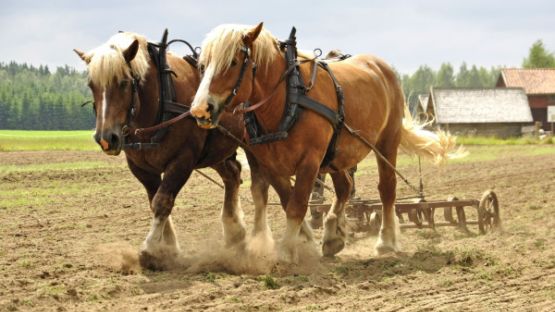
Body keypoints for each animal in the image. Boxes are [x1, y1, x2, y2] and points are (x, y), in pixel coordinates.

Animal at [74, 32, 314, 270]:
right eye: (92, 85)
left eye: (123, 82)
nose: (106, 138)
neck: (161, 99)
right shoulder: (141, 168)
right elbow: (156, 201)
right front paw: (168, 248)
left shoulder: (183, 160)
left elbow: (162, 201)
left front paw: (151, 249)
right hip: (217, 150)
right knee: (234, 175)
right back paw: (236, 232)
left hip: (255, 149)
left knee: (262, 190)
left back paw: (279, 238)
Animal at [189, 24, 462, 262]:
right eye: (203, 65)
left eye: (233, 63)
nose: (200, 109)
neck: (287, 100)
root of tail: (382, 66)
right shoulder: (270, 164)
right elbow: (289, 200)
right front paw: (305, 243)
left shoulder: (310, 161)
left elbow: (297, 204)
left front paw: (287, 251)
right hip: (336, 155)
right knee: (344, 187)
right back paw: (332, 237)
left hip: (386, 142)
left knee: (387, 189)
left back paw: (385, 241)